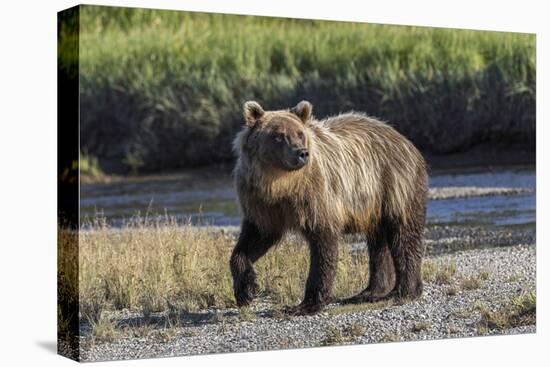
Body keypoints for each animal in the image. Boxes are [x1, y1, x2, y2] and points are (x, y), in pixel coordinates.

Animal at [231, 100, 430, 316]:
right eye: (279, 135)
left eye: (299, 133)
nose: (302, 153)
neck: (280, 184)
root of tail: (404, 139)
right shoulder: (260, 203)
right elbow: (254, 239)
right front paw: (246, 290)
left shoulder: (315, 196)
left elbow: (323, 244)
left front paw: (305, 304)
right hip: (374, 204)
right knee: (378, 244)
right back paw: (370, 292)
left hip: (394, 185)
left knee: (403, 235)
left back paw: (405, 291)